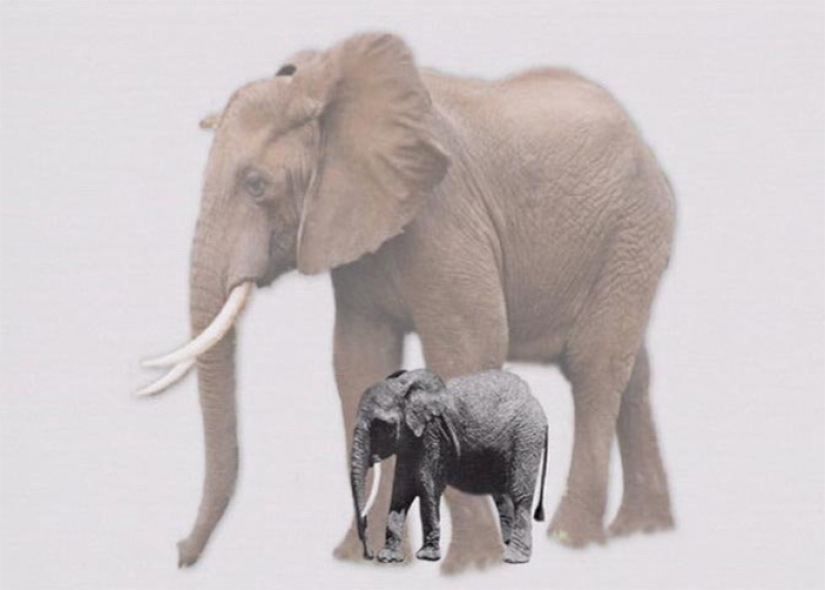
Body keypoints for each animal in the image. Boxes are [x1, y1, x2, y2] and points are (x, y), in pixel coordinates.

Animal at [350, 369, 549, 565]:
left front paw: (427, 557)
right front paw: (389, 558)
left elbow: (427, 486)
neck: (404, 386)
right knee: (502, 494)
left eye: (381, 426)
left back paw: (515, 558)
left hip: (526, 435)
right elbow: (401, 490)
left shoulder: (433, 435)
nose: (369, 555)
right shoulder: (410, 443)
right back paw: (507, 544)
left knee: (519, 494)